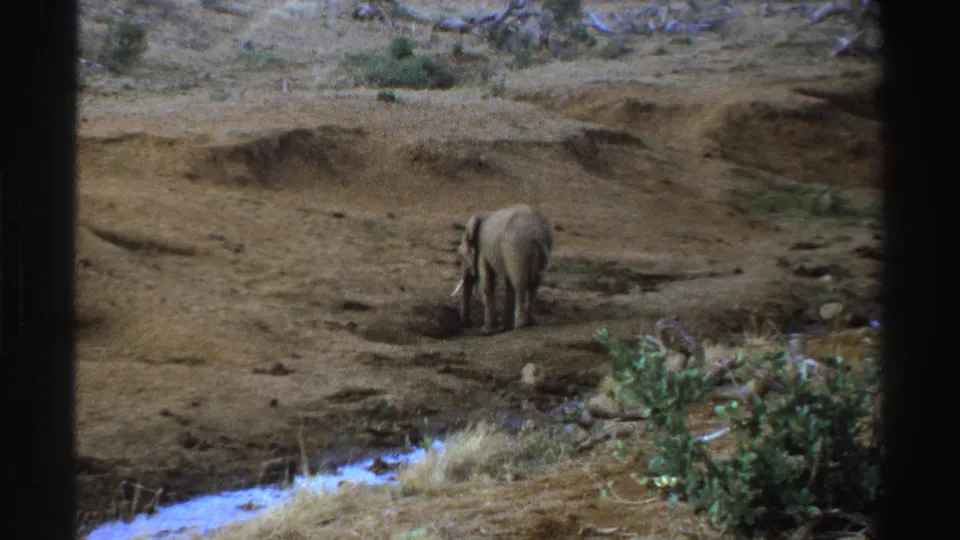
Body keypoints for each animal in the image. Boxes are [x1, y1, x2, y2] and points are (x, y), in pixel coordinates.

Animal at [451, 204, 554, 334]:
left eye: (460, 256)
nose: (468, 325)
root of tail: (537, 232)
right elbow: (507, 284)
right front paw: (505, 328)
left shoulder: (483, 250)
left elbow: (487, 282)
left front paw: (487, 330)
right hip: (537, 251)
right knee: (534, 284)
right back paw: (530, 322)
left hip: (516, 249)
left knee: (519, 283)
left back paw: (520, 325)